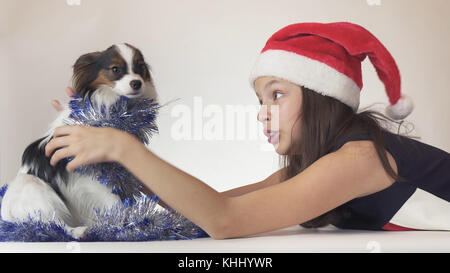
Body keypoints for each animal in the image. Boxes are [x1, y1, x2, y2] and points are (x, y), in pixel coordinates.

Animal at [0, 43, 158, 238]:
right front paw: (125, 226)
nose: (137, 83)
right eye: (115, 69)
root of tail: (6, 214)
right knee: (52, 224)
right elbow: (113, 201)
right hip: (32, 185)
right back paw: (79, 231)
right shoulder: (92, 173)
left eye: (140, 67)